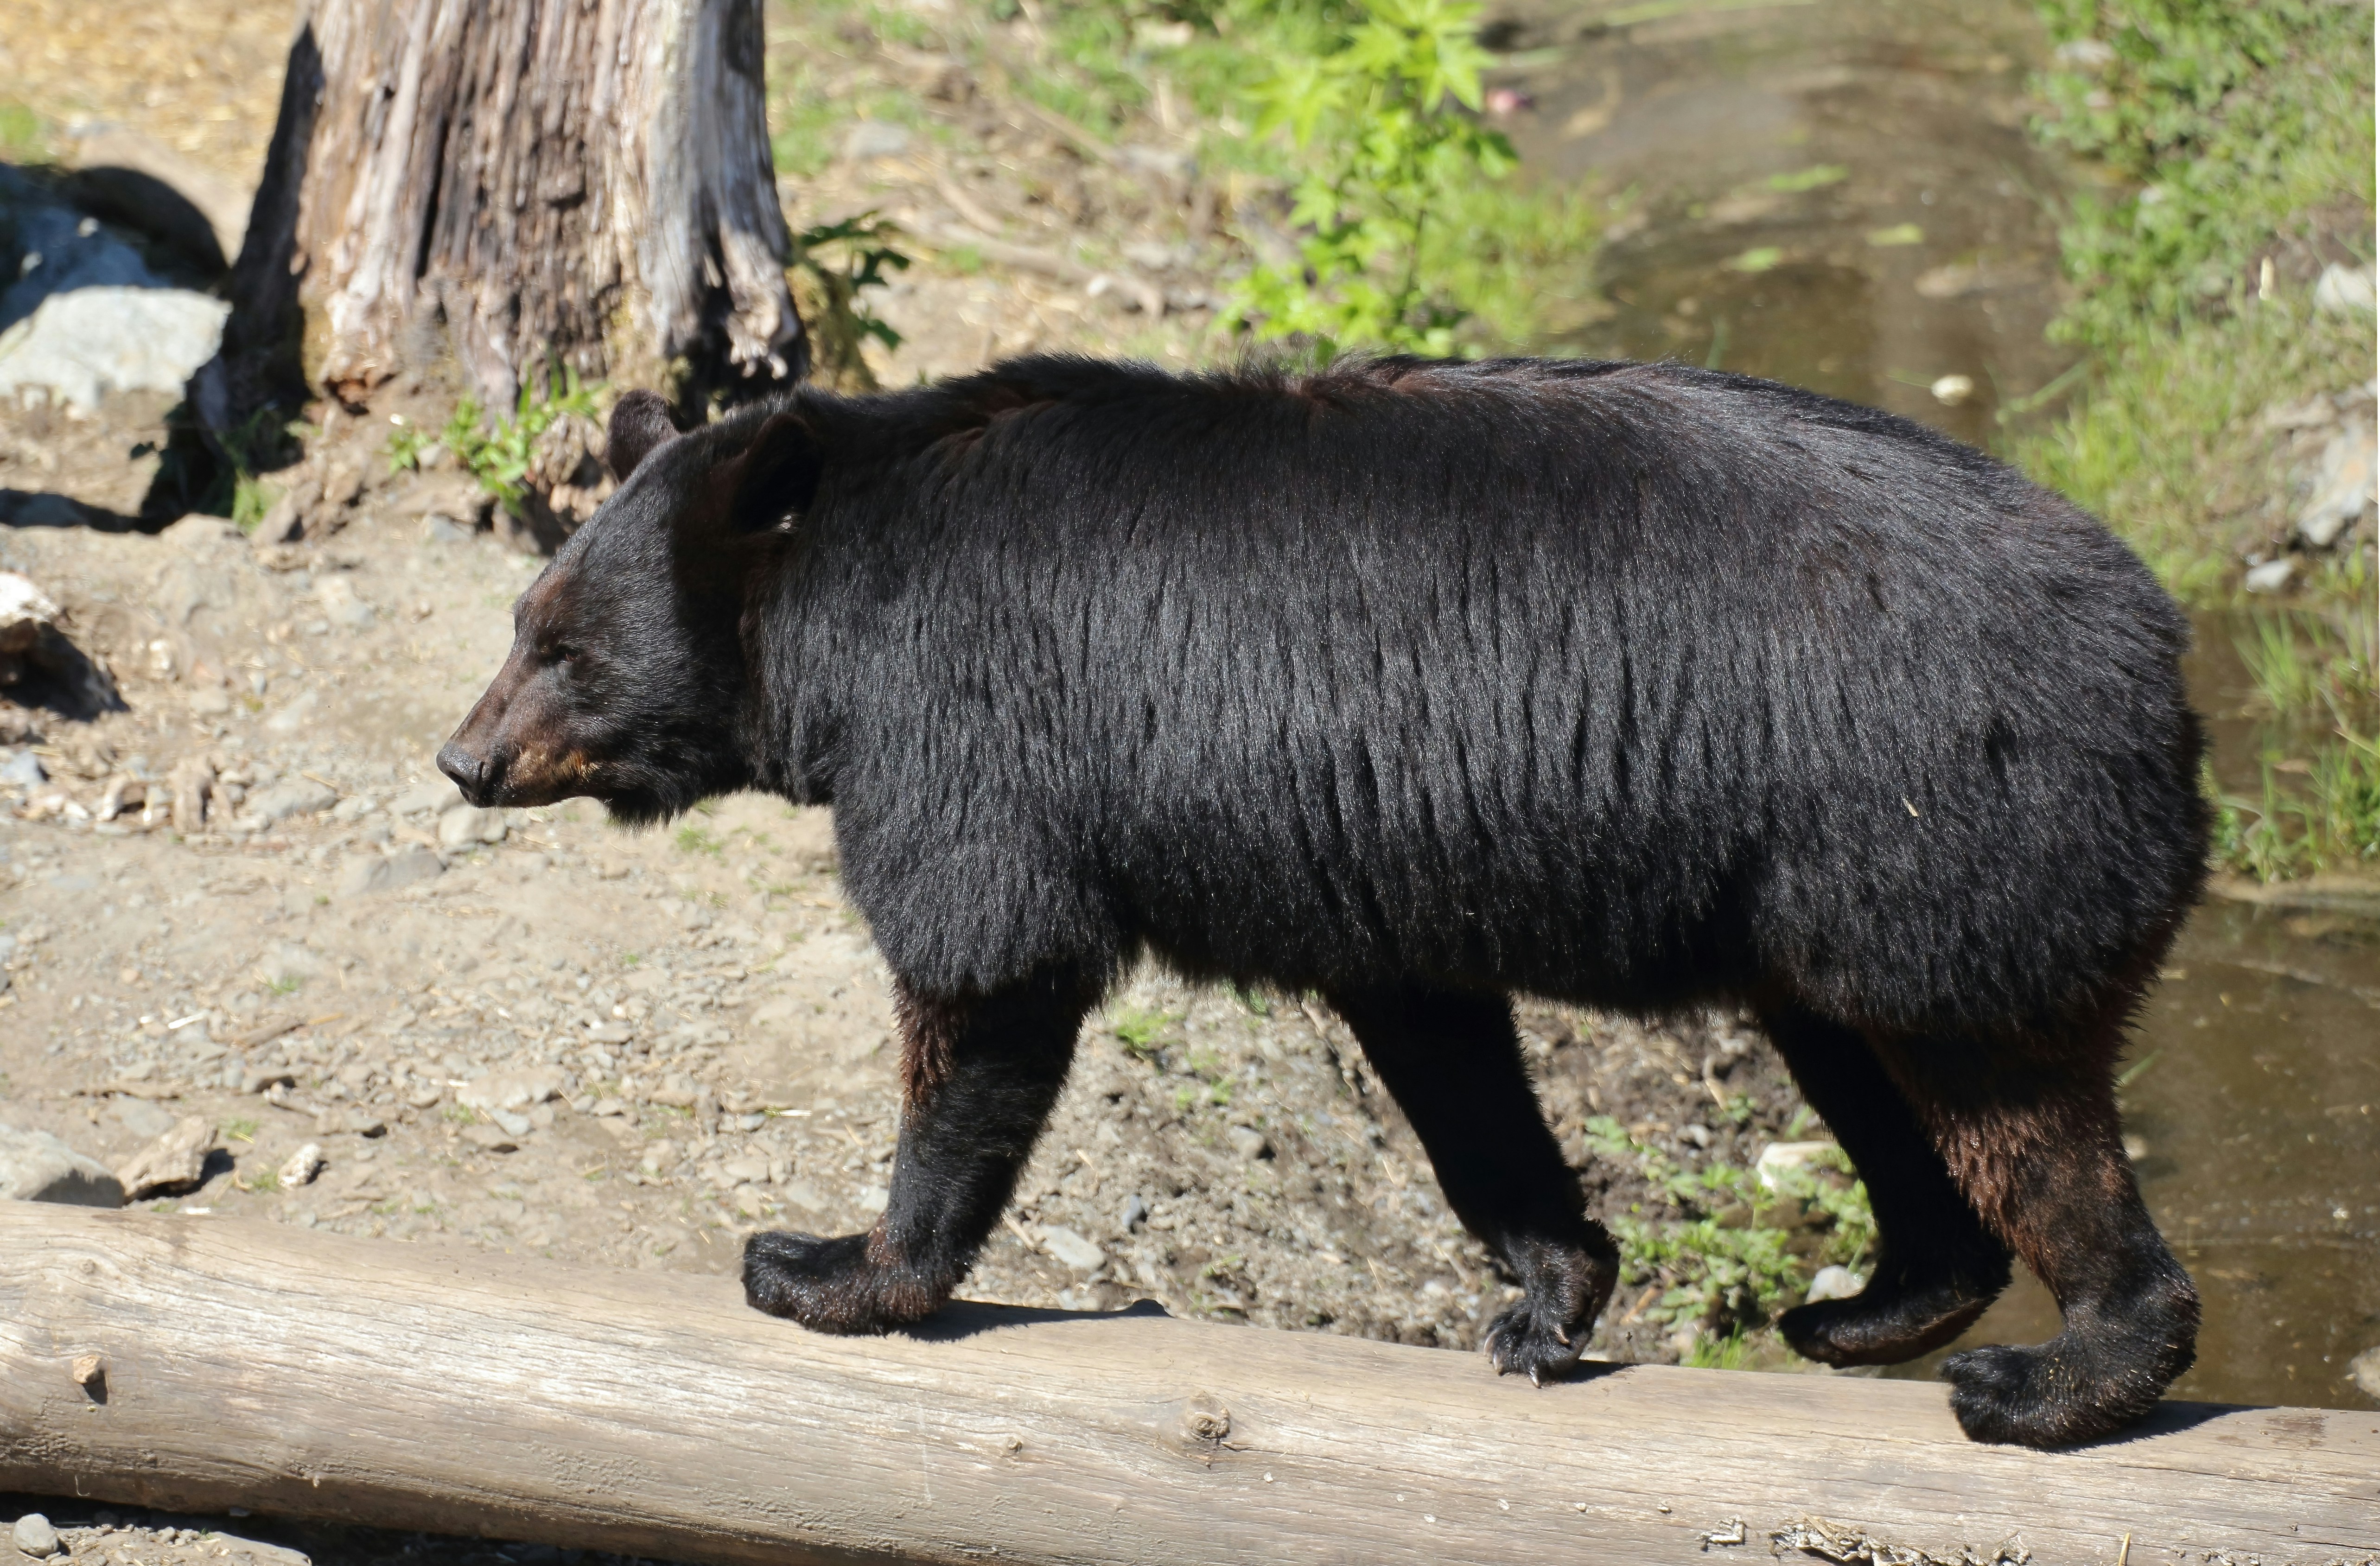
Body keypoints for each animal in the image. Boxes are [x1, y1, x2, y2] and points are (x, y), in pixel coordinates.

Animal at [439, 354, 2209, 1449]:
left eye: (563, 645)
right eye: (523, 619)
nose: (462, 756)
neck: (831, 609)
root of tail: (2165, 658)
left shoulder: (970, 726)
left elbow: (984, 973)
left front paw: (832, 1263)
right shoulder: (1365, 855)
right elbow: (1446, 1056)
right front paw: (1550, 1288)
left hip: (1935, 825)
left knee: (2002, 1089)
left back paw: (2054, 1371)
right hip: (1822, 875)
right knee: (1856, 1052)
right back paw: (1875, 1295)